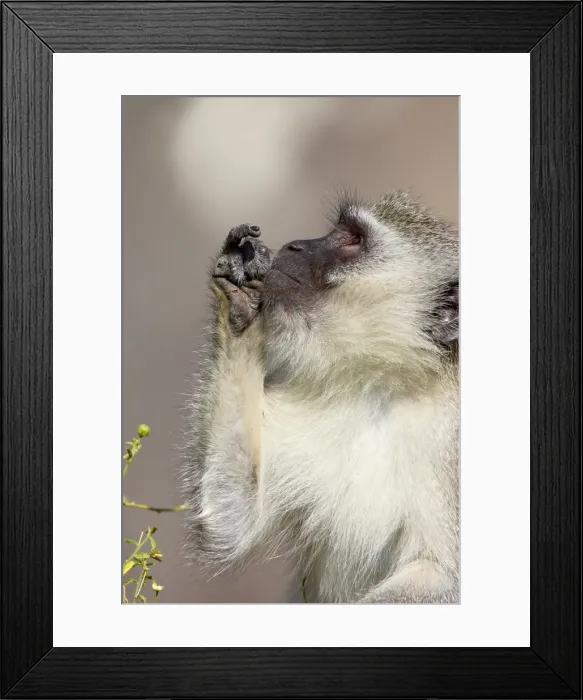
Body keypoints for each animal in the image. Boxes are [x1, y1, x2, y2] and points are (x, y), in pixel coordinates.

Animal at [181, 191, 459, 604]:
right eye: (338, 229)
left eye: (354, 239)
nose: (295, 245)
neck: (385, 381)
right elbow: (230, 521)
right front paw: (240, 300)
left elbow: (442, 576)